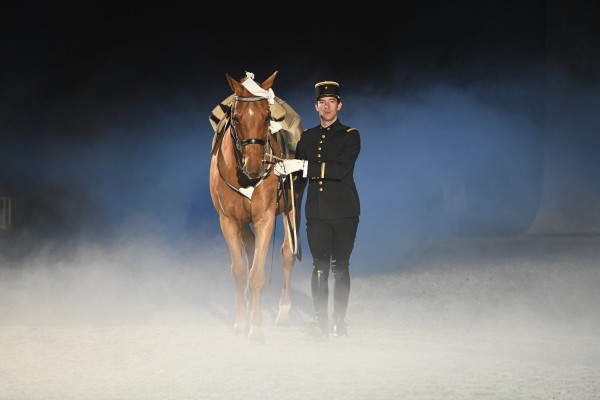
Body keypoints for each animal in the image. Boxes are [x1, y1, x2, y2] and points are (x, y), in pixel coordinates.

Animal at [210, 70, 304, 342]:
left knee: (287, 253)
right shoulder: (229, 221)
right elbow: (241, 272)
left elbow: (258, 274)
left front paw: (256, 328)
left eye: (266, 116)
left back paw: (282, 313)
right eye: (236, 117)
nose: (253, 166)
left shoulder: (265, 218)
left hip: (292, 207)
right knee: (250, 250)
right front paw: (242, 322)